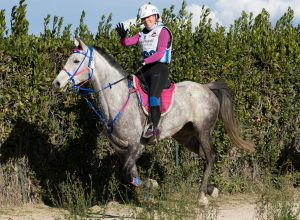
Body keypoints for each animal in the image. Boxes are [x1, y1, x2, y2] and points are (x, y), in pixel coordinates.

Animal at [52, 38, 255, 205]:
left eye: (76, 61)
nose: (57, 83)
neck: (118, 98)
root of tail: (206, 88)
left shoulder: (136, 146)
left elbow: (126, 172)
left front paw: (152, 184)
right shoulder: (121, 149)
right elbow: (130, 173)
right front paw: (147, 195)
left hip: (203, 130)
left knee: (211, 156)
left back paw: (201, 196)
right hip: (185, 135)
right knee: (205, 157)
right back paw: (211, 190)